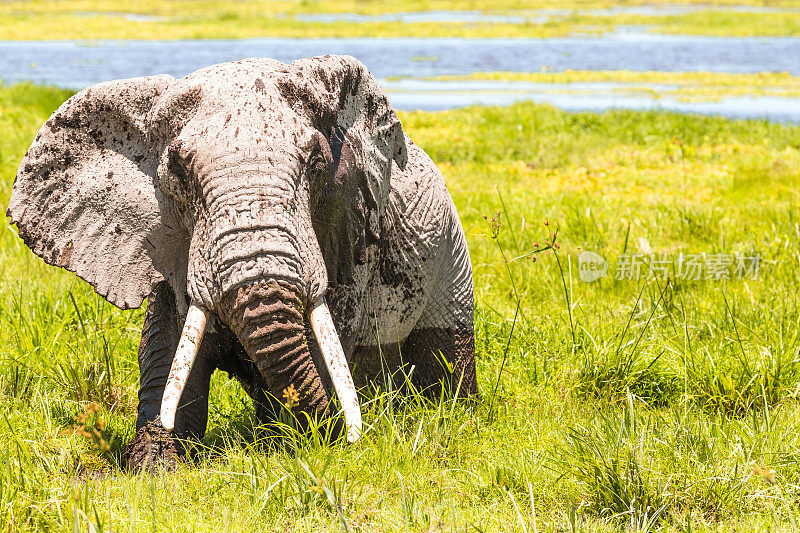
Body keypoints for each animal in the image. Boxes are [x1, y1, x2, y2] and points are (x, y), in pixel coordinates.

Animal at [6, 55, 478, 470]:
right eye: (177, 173)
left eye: (317, 164)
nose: (342, 435)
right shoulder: (171, 247)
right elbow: (170, 353)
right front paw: (157, 467)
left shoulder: (346, 238)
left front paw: (292, 444)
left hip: (450, 253)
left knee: (444, 352)